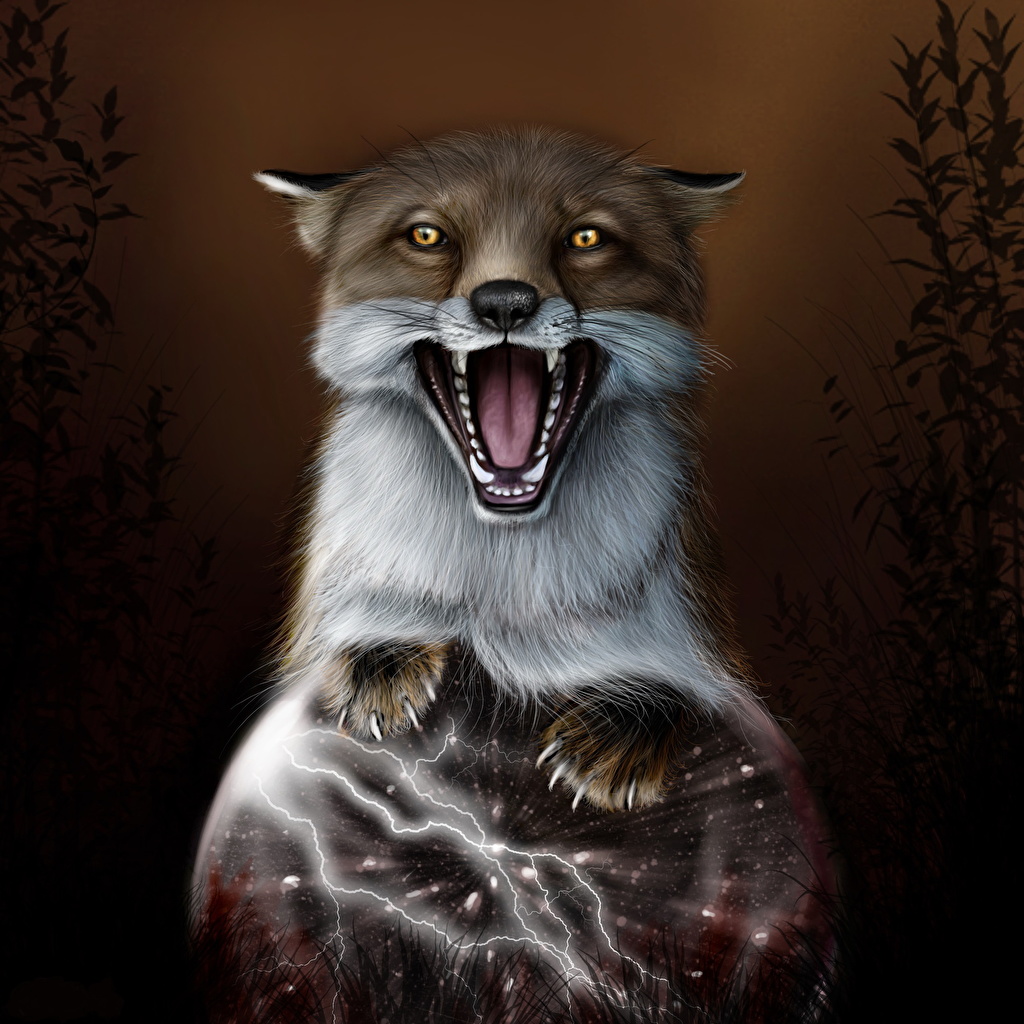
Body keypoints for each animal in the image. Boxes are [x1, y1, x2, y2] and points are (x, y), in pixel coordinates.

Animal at [256, 126, 751, 813]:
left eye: (585, 237)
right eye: (427, 235)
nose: (505, 303)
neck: (497, 579)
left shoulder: (688, 633)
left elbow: (682, 681)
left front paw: (620, 726)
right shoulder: (334, 598)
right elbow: (355, 624)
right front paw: (380, 661)